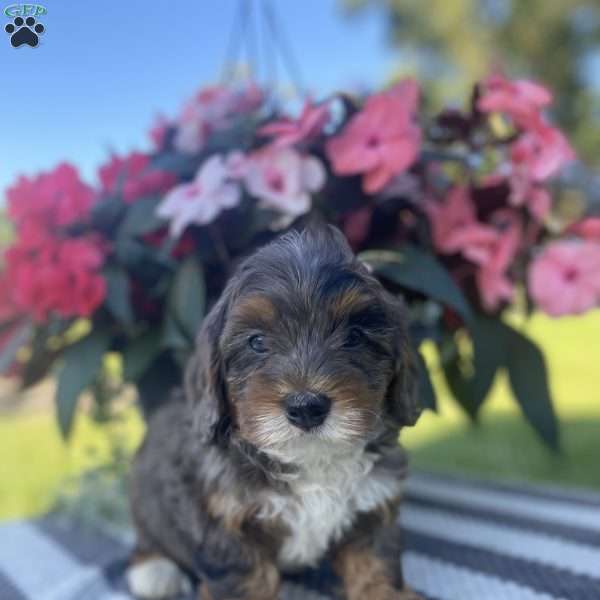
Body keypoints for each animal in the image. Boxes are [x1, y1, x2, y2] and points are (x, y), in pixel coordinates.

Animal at [129, 226, 424, 600]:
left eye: (355, 336)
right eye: (257, 342)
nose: (306, 407)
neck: (311, 460)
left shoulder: (371, 506)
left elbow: (374, 566)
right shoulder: (227, 523)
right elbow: (247, 582)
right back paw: (154, 571)